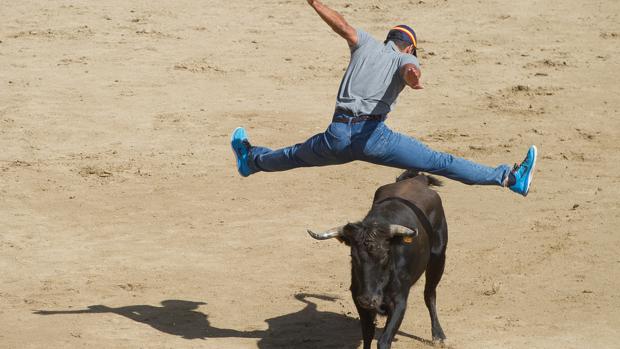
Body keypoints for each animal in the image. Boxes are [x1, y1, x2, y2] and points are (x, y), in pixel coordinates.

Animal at [308, 172, 448, 348]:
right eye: (353, 256)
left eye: (384, 255)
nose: (368, 299)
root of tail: (418, 179)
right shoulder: (359, 299)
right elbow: (368, 333)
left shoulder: (399, 301)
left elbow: (383, 340)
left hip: (438, 258)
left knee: (430, 294)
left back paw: (438, 335)